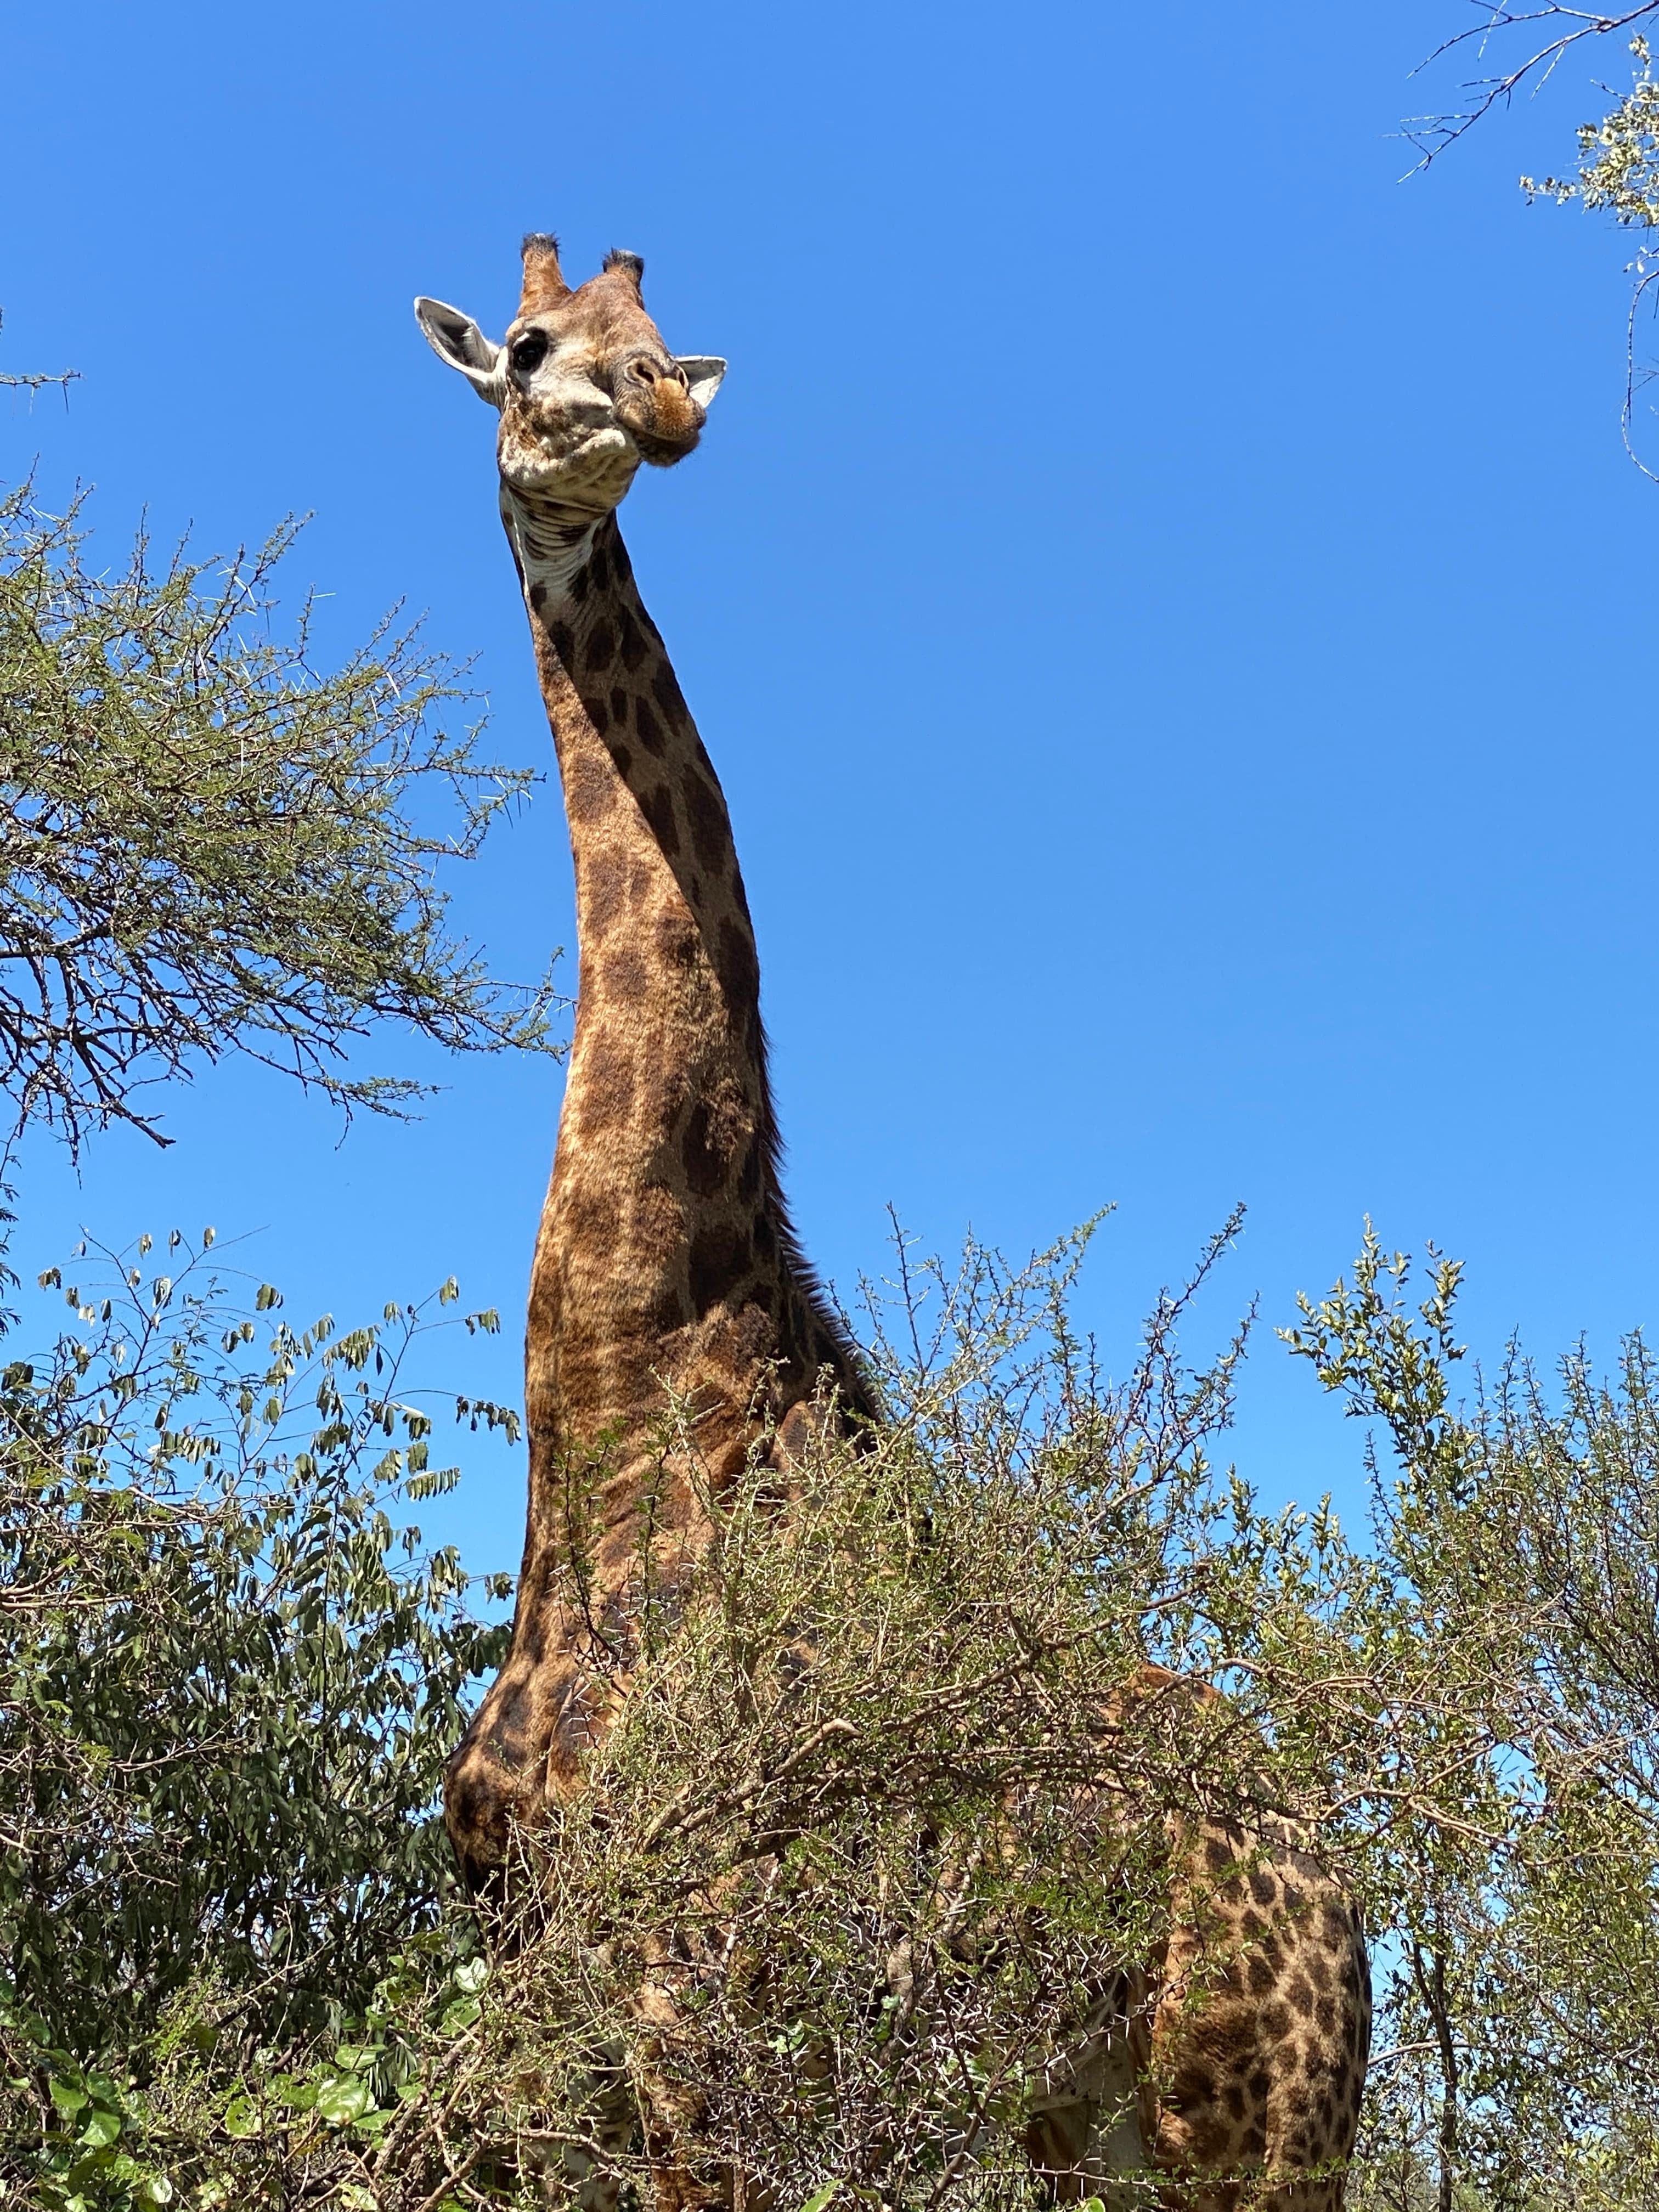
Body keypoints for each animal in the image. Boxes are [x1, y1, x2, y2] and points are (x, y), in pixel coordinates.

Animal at [414, 235, 1371, 2209]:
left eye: (656, 338)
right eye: (529, 346)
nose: (658, 411)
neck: (614, 1406)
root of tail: (1360, 1899)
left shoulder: (692, 2000)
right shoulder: (542, 1977)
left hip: (1254, 2126)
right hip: (1085, 2122)